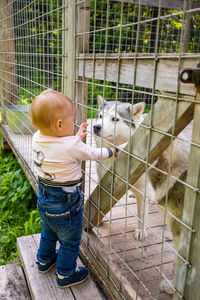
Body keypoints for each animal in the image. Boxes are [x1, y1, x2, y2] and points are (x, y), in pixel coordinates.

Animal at [94, 95, 191, 292]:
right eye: (100, 116)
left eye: (115, 119)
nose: (96, 127)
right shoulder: (104, 180)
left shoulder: (142, 190)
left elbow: (141, 213)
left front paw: (140, 230)